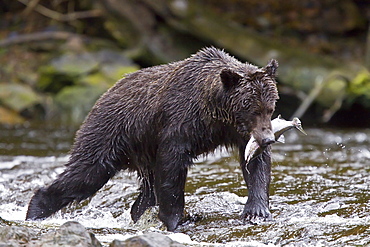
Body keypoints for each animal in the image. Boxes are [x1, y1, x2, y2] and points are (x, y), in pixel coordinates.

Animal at [26, 46, 278, 232]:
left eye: (270, 107)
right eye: (252, 108)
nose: (269, 138)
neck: (214, 111)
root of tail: (104, 94)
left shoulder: (236, 132)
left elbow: (256, 164)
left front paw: (256, 211)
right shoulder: (179, 123)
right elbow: (171, 169)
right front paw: (176, 220)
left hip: (141, 152)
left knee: (146, 191)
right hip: (110, 133)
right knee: (86, 174)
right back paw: (35, 209)